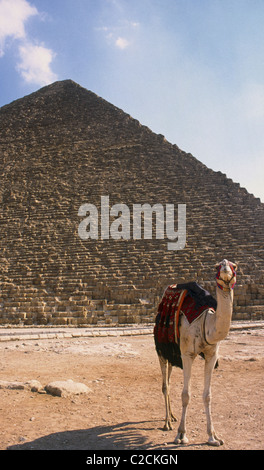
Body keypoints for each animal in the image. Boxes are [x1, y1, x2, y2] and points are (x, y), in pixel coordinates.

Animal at [155, 258, 237, 446]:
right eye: (217, 267)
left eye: (234, 266)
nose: (226, 270)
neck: (206, 322)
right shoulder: (187, 354)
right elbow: (186, 395)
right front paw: (181, 435)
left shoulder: (211, 355)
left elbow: (208, 395)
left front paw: (213, 436)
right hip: (161, 351)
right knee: (165, 385)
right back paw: (167, 423)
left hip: (172, 355)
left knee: (168, 379)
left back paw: (172, 416)